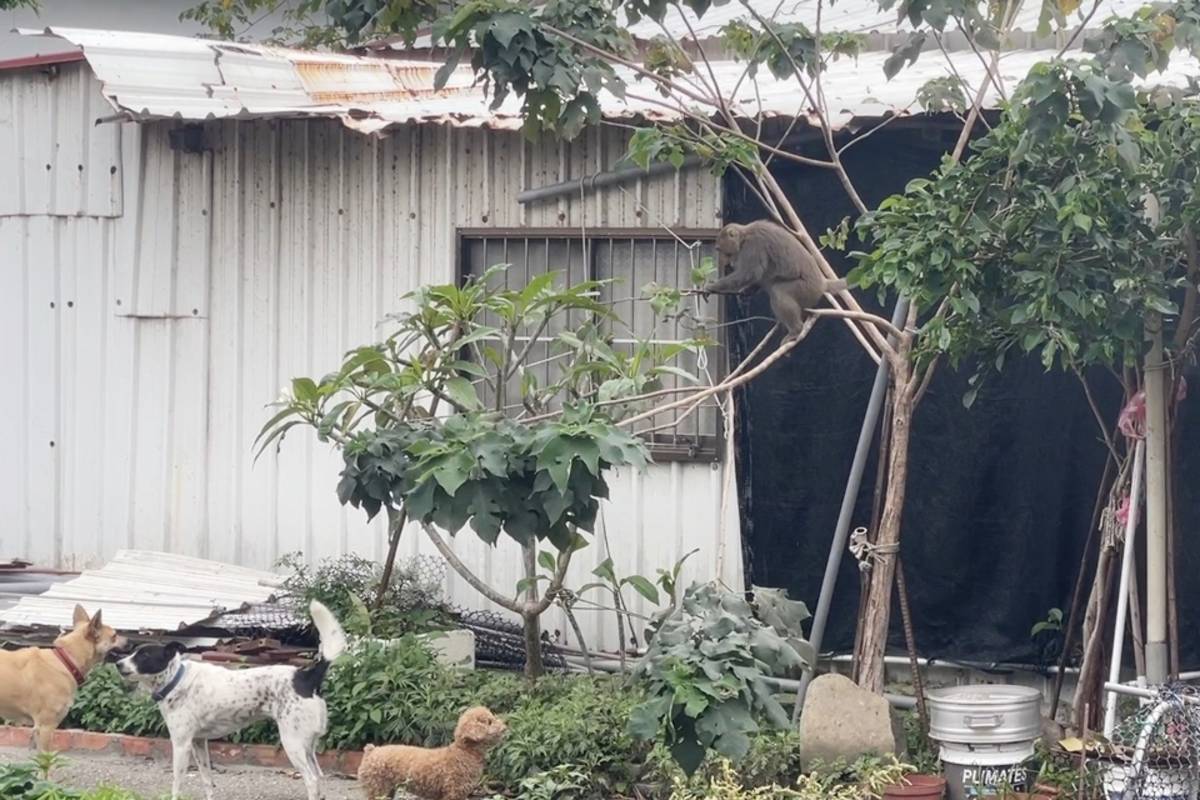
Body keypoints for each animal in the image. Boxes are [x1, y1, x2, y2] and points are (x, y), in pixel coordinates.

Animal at [355, 705, 506, 800]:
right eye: (489, 722)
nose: (505, 727)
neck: (464, 753)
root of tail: (371, 751)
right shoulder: (453, 793)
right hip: (378, 788)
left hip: (388, 789)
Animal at [700, 219, 844, 338]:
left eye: (721, 250)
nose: (727, 262)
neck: (744, 236)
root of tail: (822, 283)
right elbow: (756, 276)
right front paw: (747, 290)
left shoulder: (753, 245)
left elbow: (749, 273)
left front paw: (711, 287)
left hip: (808, 289)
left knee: (779, 291)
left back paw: (796, 330)